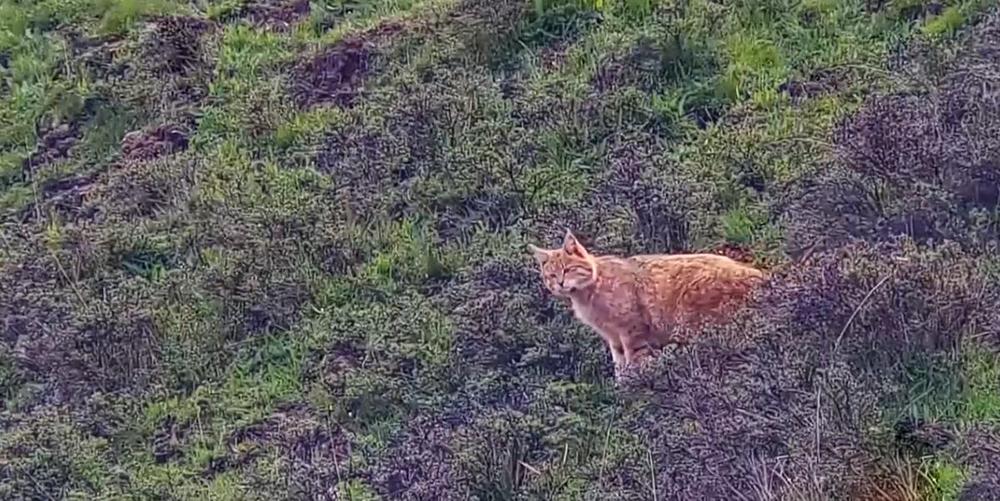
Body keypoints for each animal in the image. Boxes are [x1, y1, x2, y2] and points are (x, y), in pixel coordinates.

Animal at [532, 230, 764, 378]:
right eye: (551, 275)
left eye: (568, 269)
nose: (560, 283)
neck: (590, 291)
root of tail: (759, 274)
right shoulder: (614, 338)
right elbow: (620, 367)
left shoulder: (632, 331)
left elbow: (636, 361)